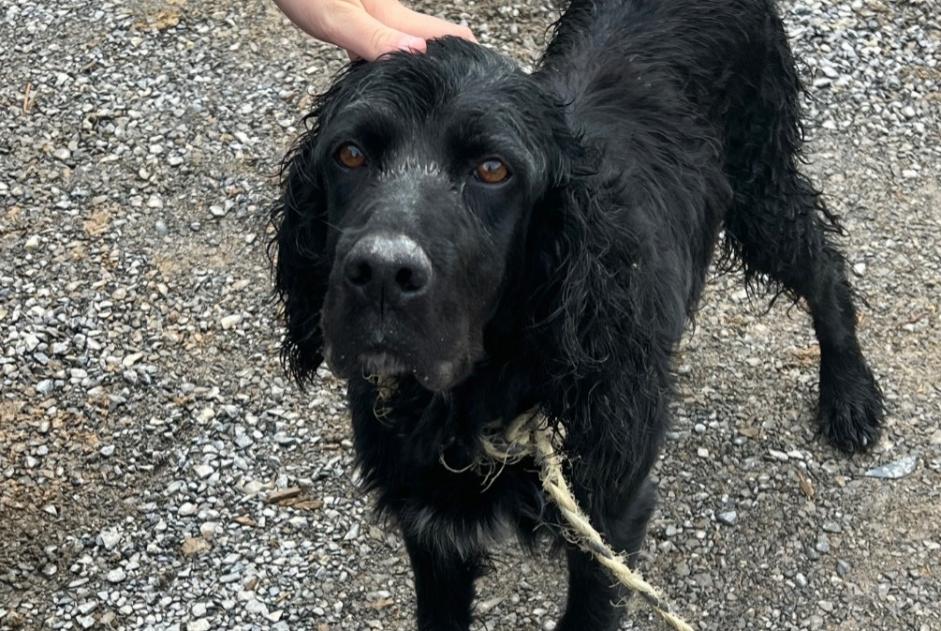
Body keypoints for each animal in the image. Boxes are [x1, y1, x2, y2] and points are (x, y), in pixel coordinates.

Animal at [270, 1, 880, 628]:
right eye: (349, 154)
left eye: (493, 169)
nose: (383, 273)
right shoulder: (431, 526)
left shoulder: (610, 516)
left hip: (761, 189)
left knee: (826, 269)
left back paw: (850, 394)